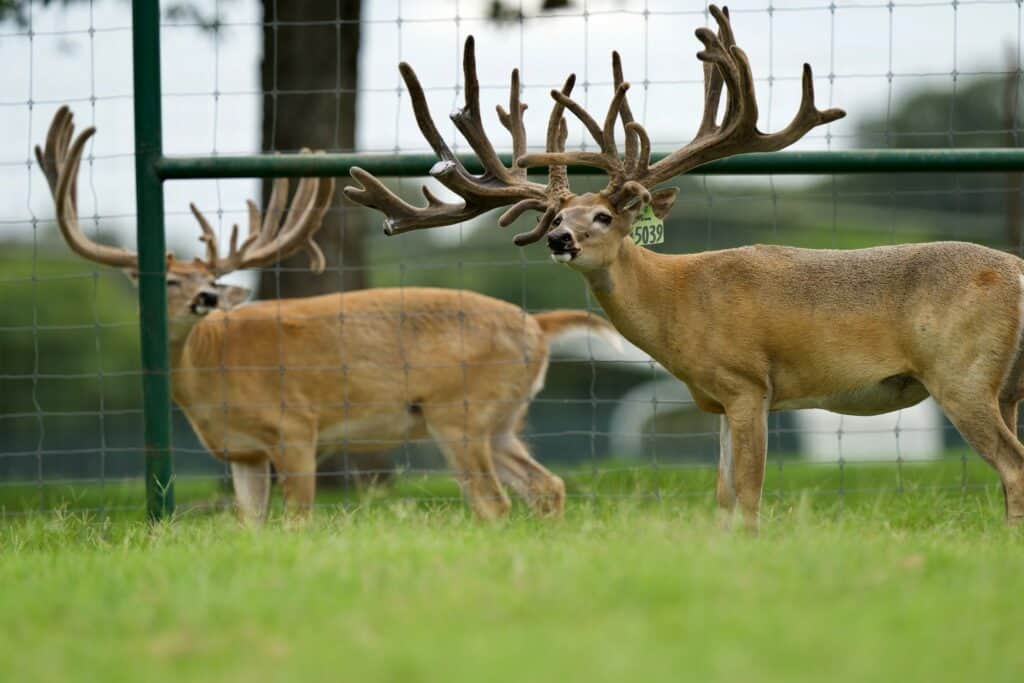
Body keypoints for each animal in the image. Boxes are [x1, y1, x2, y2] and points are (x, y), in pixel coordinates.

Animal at [36, 105, 621, 523]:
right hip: (500, 420)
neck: (209, 375)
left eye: (209, 281)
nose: (205, 300)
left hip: (460, 412)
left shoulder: (296, 428)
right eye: (170, 280)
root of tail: (536, 325)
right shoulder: (243, 454)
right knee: (546, 487)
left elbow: (298, 519)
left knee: (494, 502)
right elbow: (250, 527)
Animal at [345, 5, 1024, 531]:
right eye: (558, 214)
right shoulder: (718, 400)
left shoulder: (750, 382)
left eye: (604, 216)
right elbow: (722, 496)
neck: (679, 301)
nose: (559, 239)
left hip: (961, 373)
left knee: (1012, 464)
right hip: (1005, 384)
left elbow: (747, 495)